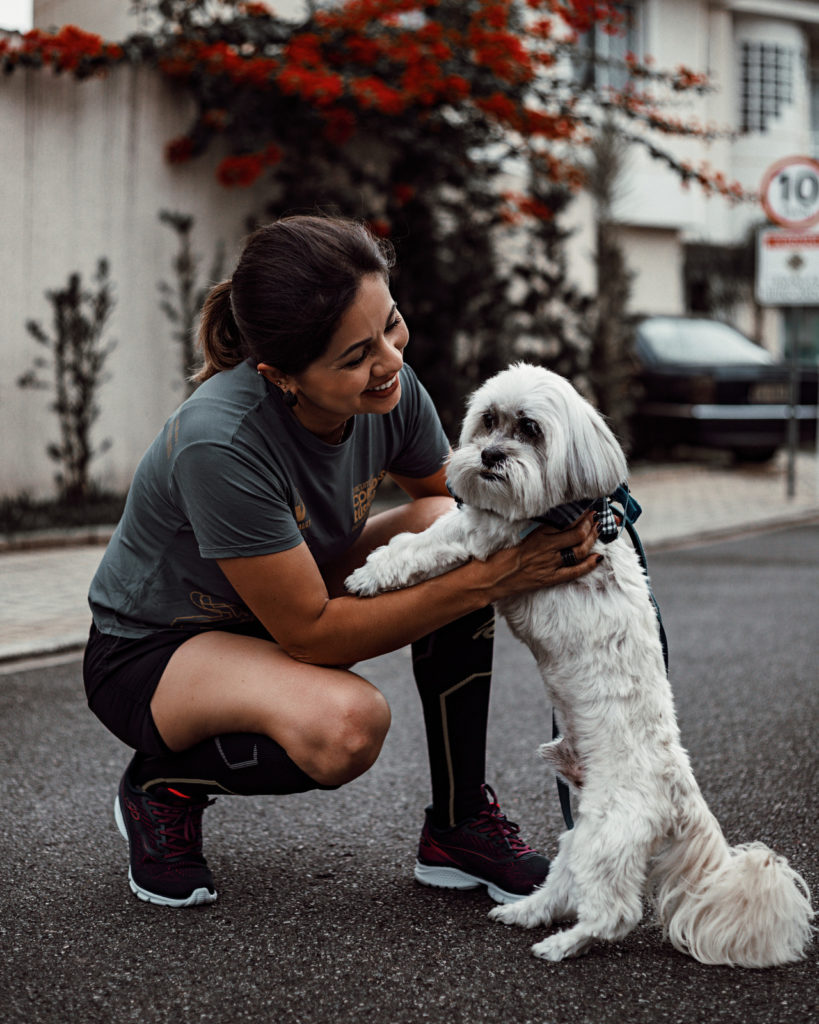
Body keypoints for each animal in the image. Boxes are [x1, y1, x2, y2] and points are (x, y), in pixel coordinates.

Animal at [346, 364, 810, 962]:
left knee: (614, 913)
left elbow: (420, 542)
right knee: (564, 885)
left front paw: (369, 574)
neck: (561, 507)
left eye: (530, 429)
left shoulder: (485, 536)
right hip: (580, 830)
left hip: (603, 837)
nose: (489, 456)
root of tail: (679, 793)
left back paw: (562, 945)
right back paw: (524, 912)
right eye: (488, 420)